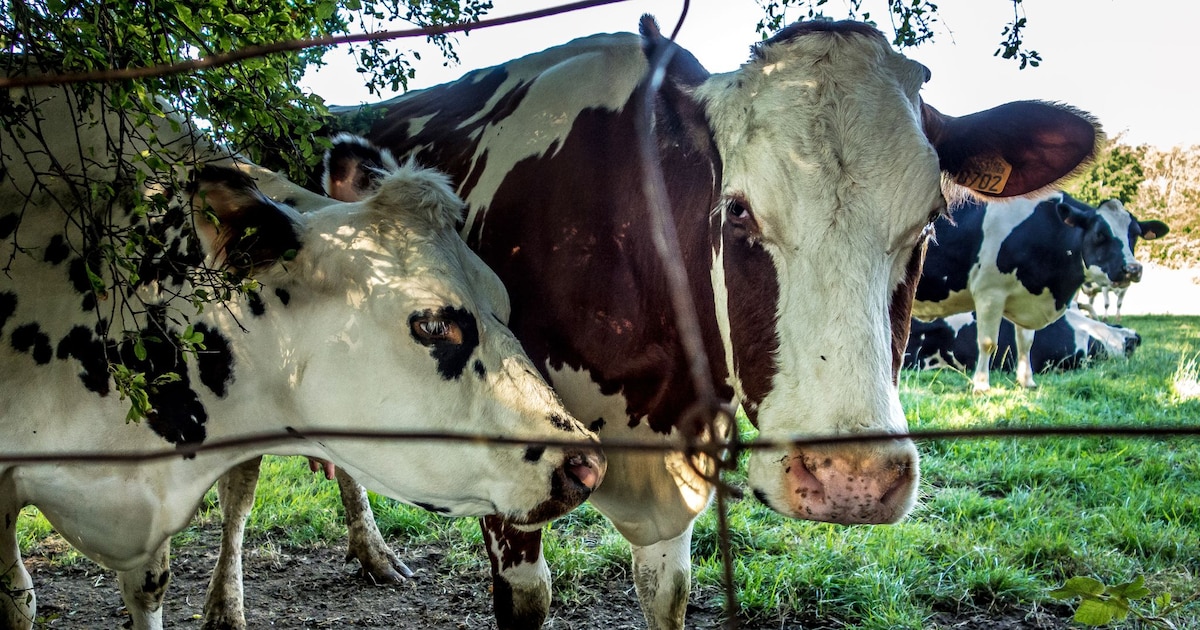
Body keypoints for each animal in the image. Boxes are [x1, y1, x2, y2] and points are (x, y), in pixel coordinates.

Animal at [211, 15, 1099, 628]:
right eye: (736, 210)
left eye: (931, 222)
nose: (851, 480)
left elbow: (664, 594)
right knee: (240, 484)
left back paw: (371, 554)